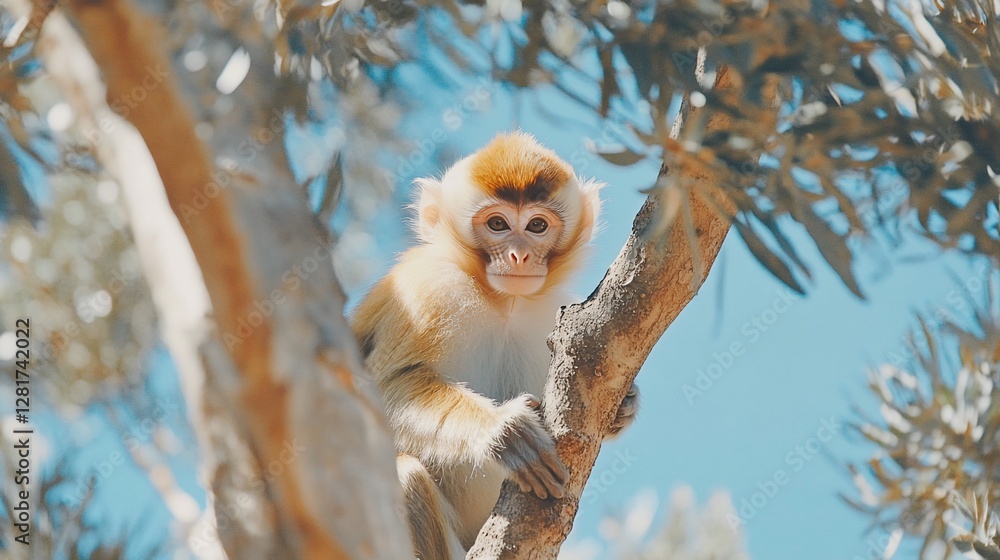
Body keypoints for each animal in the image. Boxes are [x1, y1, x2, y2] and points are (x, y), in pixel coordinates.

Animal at [351, 132, 640, 559]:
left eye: (537, 225)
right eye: (498, 224)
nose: (519, 256)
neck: (502, 304)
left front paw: (625, 405)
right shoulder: (425, 291)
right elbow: (376, 390)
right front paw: (503, 431)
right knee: (406, 476)